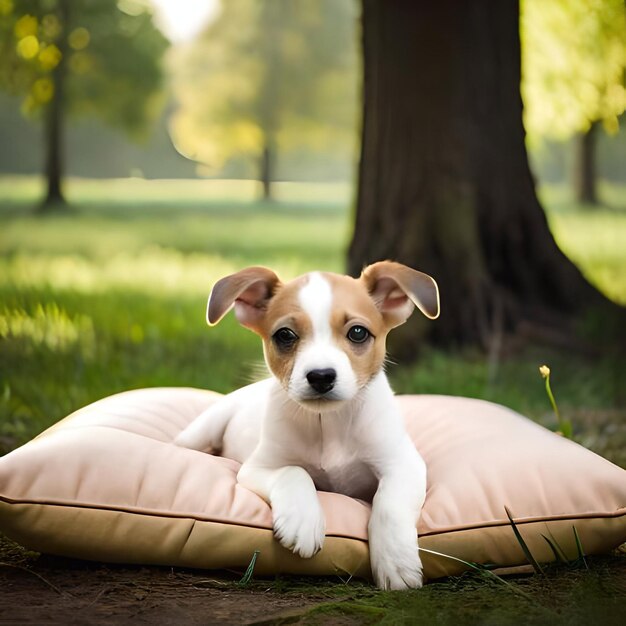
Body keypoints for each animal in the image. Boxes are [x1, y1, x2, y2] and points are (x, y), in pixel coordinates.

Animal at [176, 260, 438, 588]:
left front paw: (396, 563)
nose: (321, 376)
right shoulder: (257, 468)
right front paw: (302, 520)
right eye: (285, 335)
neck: (328, 422)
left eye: (358, 333)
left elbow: (389, 505)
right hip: (203, 429)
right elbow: (294, 471)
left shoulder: (403, 464)